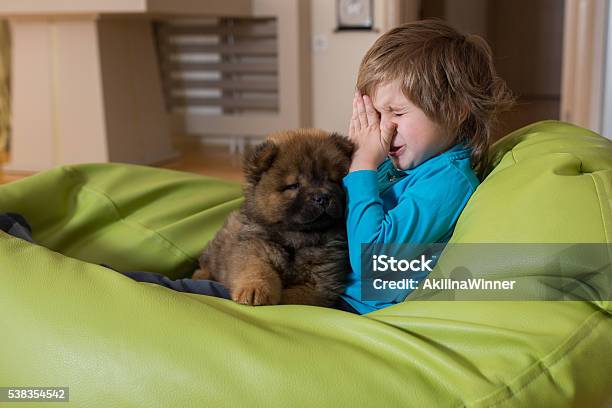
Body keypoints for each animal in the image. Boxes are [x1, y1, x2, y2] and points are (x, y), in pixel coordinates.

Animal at [191, 128, 354, 306]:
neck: (296, 238)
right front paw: (254, 290)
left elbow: (291, 298)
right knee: (204, 266)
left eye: (332, 180)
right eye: (293, 186)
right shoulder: (254, 249)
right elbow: (256, 269)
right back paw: (199, 276)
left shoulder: (319, 280)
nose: (322, 197)